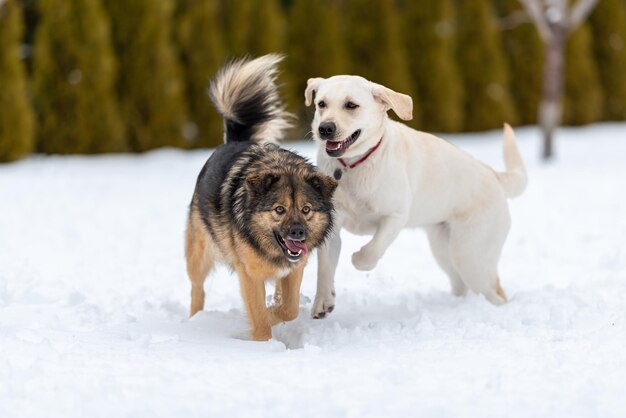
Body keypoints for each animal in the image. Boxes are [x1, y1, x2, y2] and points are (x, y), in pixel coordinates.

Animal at [304, 76, 524, 316]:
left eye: (351, 105)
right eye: (322, 104)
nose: (325, 128)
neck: (353, 164)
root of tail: (495, 176)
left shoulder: (395, 216)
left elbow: (372, 250)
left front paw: (359, 260)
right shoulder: (331, 225)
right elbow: (325, 267)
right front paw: (323, 301)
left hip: (470, 255)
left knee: (495, 292)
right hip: (445, 250)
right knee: (461, 284)